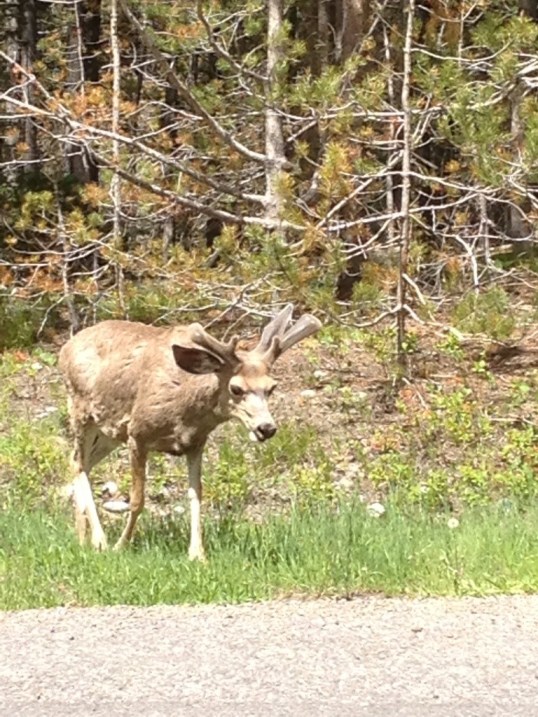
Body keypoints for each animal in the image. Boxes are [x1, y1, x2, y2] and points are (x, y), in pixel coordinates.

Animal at [58, 304, 321, 560]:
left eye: (272, 387)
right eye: (236, 388)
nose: (266, 428)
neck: (187, 407)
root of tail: (66, 347)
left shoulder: (196, 442)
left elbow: (196, 494)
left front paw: (197, 553)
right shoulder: (138, 433)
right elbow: (137, 500)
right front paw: (121, 545)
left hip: (108, 432)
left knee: (78, 462)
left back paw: (82, 537)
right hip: (81, 410)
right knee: (79, 464)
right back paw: (99, 540)